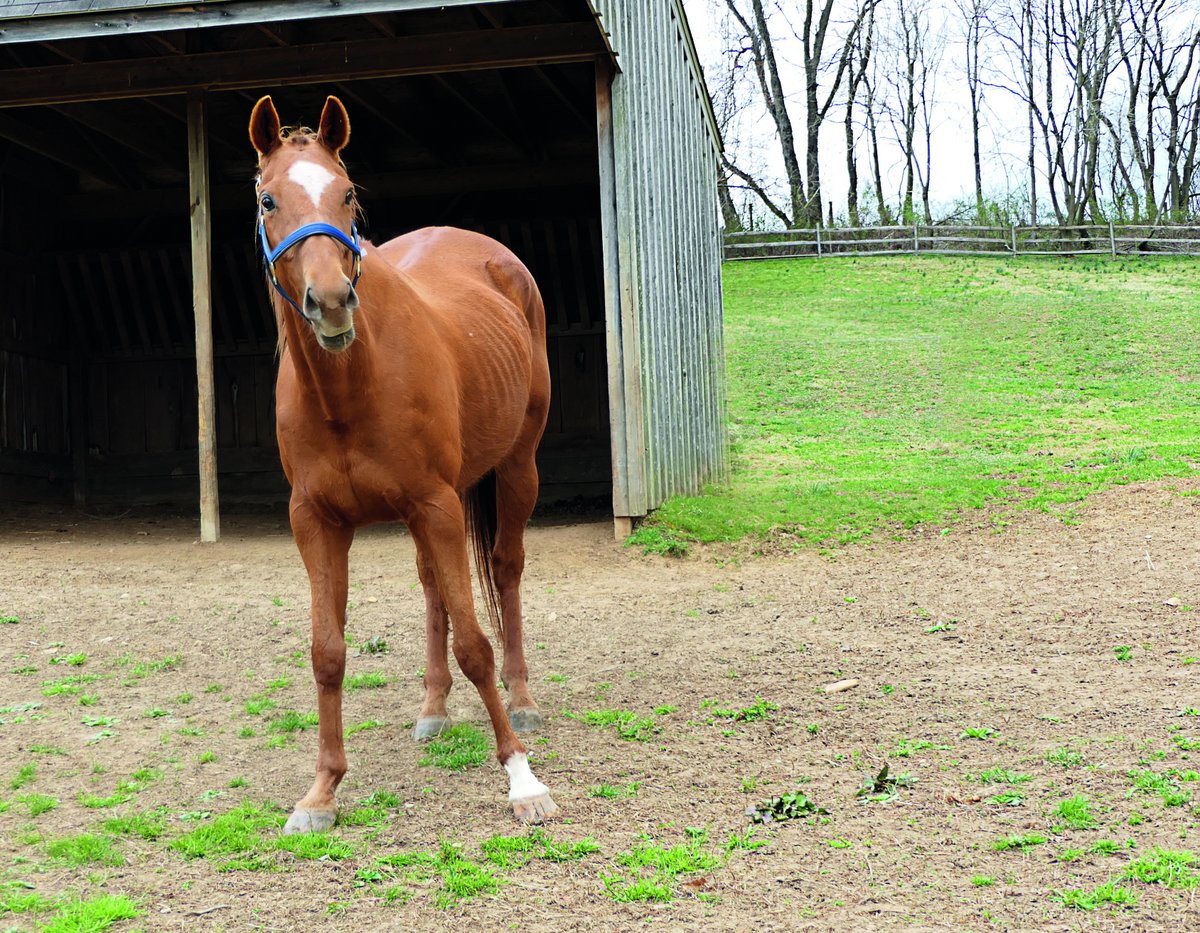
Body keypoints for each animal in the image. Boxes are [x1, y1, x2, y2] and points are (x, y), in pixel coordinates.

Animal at [248, 95, 557, 833]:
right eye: (269, 199)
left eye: (347, 193)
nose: (332, 302)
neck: (349, 387)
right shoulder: (317, 522)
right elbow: (327, 652)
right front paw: (321, 792)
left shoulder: (437, 503)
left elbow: (476, 641)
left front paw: (521, 777)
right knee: (432, 588)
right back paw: (433, 707)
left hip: (515, 468)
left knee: (505, 570)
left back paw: (523, 698)